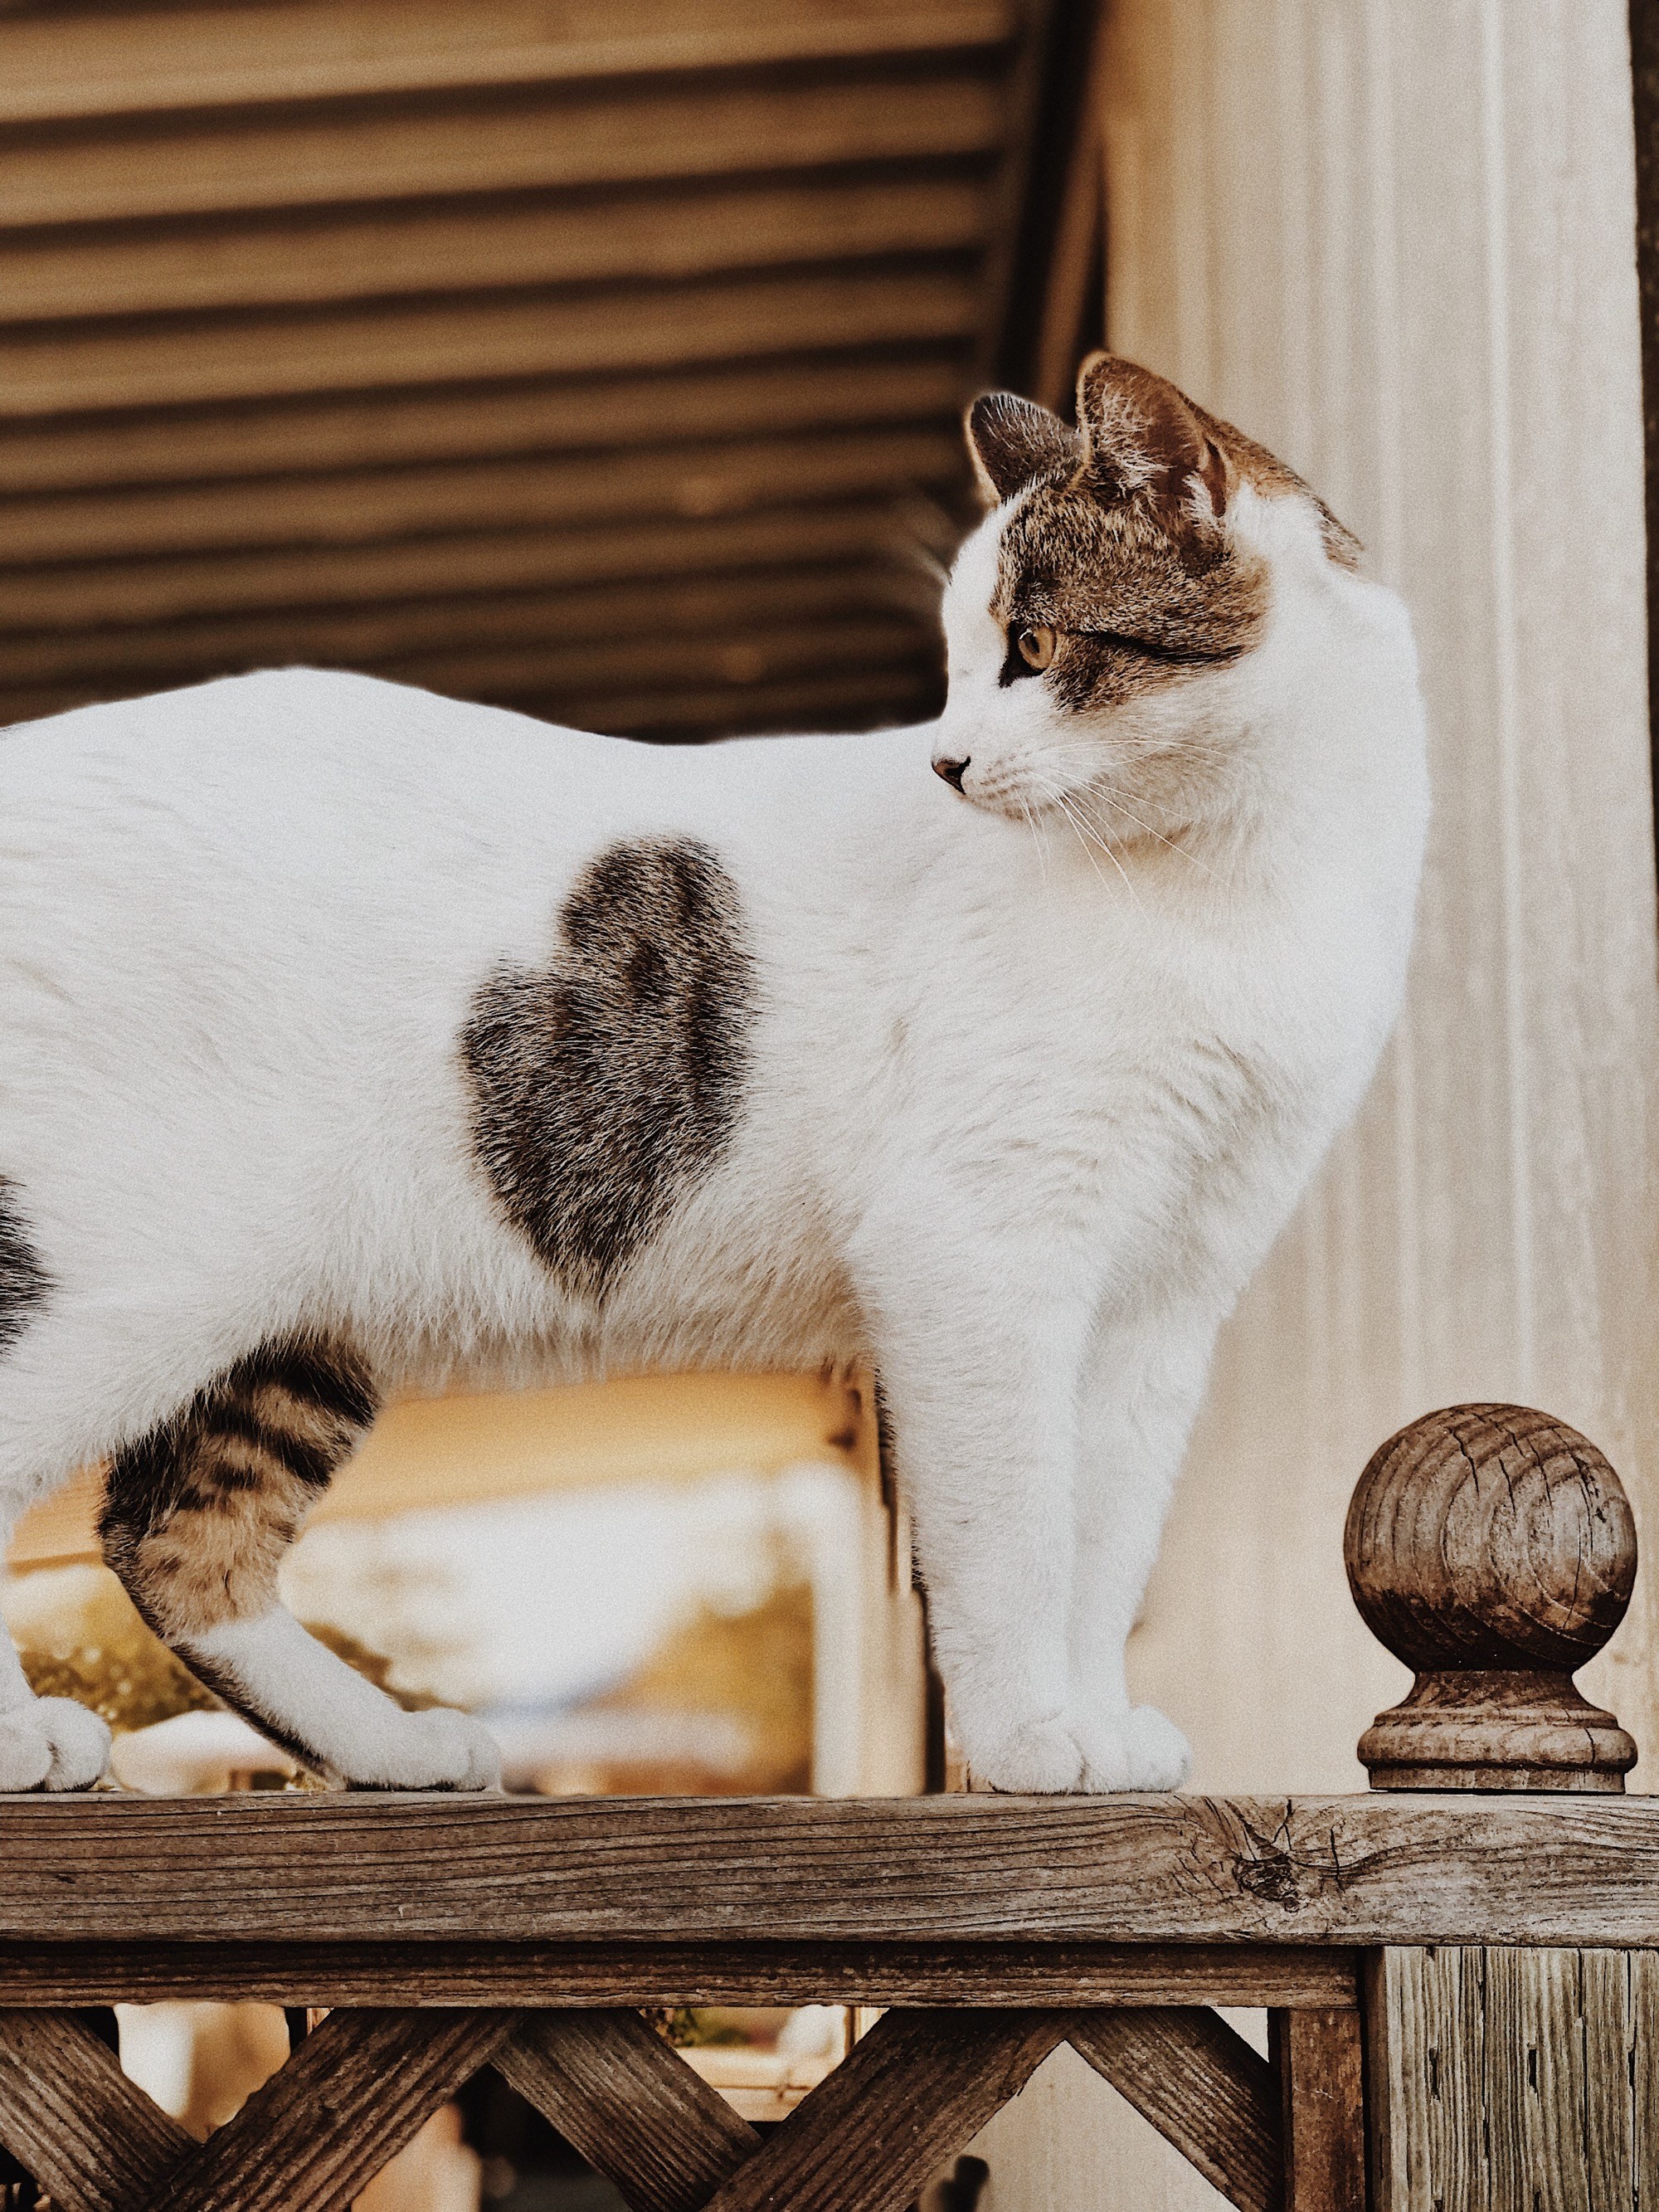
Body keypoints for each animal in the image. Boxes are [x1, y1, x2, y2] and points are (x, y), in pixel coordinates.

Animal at [0, 349, 1433, 1795]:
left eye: (1029, 648)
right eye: (967, 662)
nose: (948, 761)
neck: (1233, 884)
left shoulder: (1166, 1295)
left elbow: (1109, 1537)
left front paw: (1096, 1721)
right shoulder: (979, 1249)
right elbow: (1021, 1527)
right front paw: (1030, 1735)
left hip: (293, 1317)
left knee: (176, 1544)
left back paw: (395, 1745)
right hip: (132, 1274)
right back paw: (30, 1737)